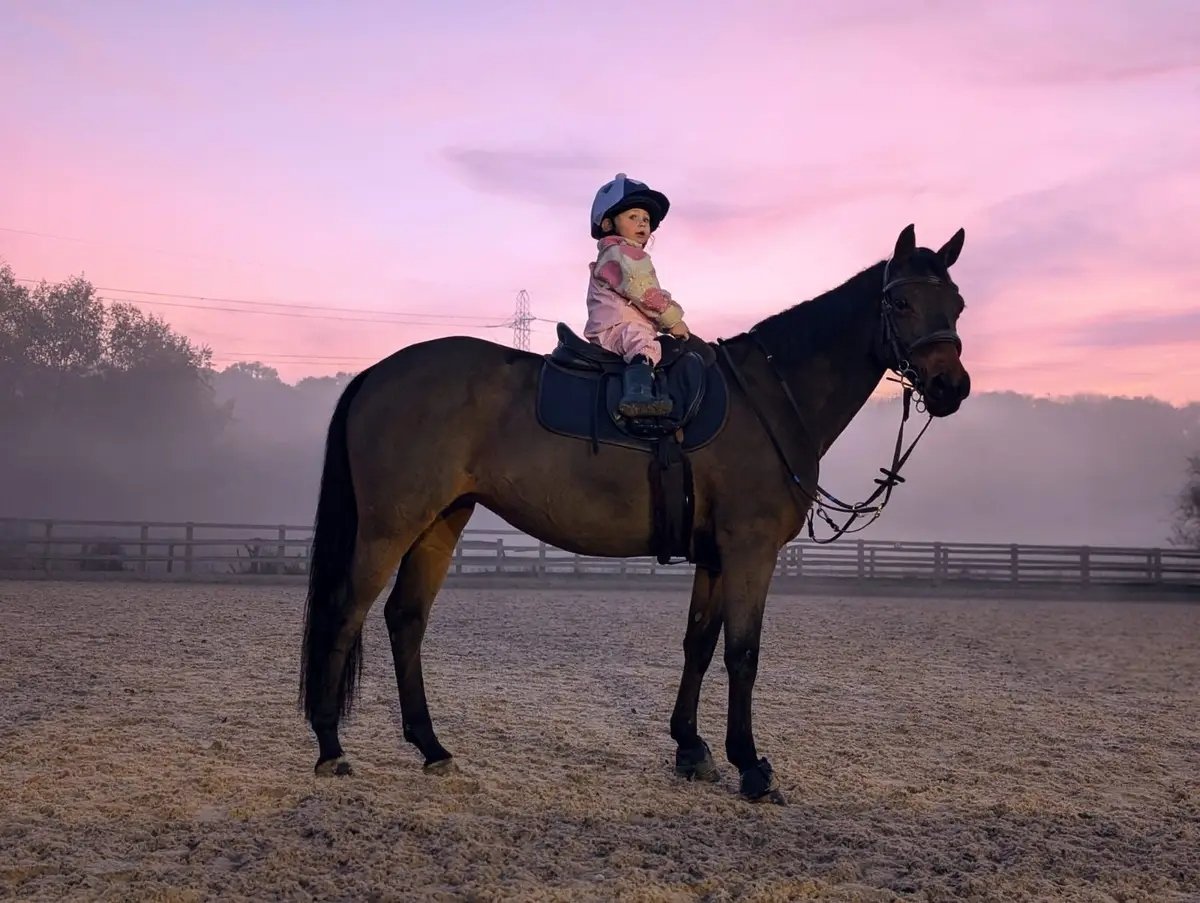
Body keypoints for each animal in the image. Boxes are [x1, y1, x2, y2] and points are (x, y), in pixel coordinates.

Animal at [298, 223, 971, 804]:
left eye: (957, 304)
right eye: (901, 302)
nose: (951, 387)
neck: (772, 399)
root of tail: (377, 373)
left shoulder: (716, 557)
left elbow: (699, 643)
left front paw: (692, 748)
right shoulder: (750, 551)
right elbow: (743, 653)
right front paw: (751, 766)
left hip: (441, 521)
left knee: (406, 619)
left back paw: (431, 748)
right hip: (389, 526)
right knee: (345, 612)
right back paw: (331, 748)